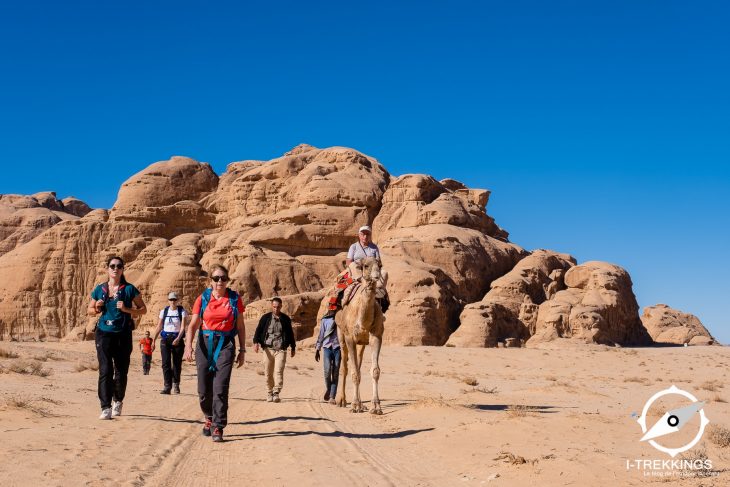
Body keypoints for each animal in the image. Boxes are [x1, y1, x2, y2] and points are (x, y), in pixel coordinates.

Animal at [332, 258, 384, 414]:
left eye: (380, 265)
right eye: (366, 266)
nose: (376, 276)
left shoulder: (376, 336)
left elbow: (375, 371)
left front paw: (376, 406)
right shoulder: (350, 338)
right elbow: (353, 373)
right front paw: (354, 405)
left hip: (362, 343)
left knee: (359, 365)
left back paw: (362, 404)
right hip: (341, 334)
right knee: (345, 367)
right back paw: (342, 400)